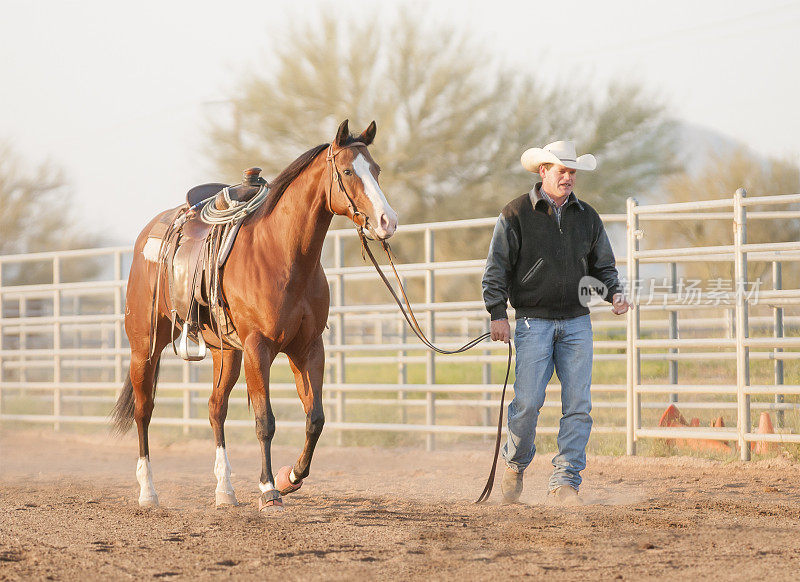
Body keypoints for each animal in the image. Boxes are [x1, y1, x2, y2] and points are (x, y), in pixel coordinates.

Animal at [111, 122, 398, 512]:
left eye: (377, 170)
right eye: (349, 171)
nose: (388, 221)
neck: (281, 254)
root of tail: (150, 234)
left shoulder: (307, 348)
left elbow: (315, 419)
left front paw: (290, 477)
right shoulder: (257, 348)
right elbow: (265, 421)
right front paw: (269, 489)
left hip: (225, 354)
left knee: (216, 408)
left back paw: (225, 491)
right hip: (145, 346)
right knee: (144, 410)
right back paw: (148, 493)